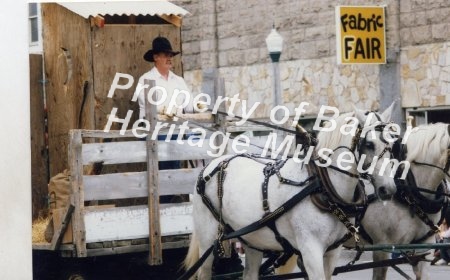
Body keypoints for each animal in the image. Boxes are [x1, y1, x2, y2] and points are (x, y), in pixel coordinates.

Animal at [181, 107, 396, 280]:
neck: (323, 187)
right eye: (369, 144)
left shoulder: (332, 251)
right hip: (208, 239)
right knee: (204, 273)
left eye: (392, 145)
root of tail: (214, 164)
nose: (389, 189)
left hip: (253, 240)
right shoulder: (310, 250)